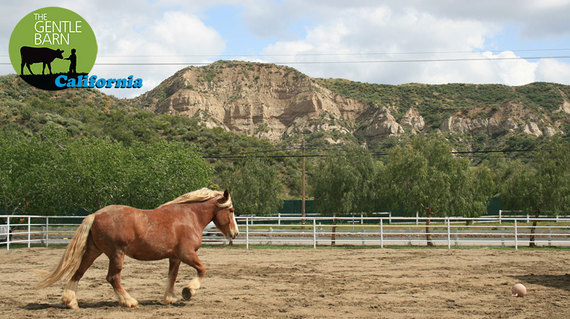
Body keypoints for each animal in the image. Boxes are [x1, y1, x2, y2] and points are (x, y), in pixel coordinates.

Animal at [37, 189, 237, 308]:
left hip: (93, 252)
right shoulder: (187, 254)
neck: (188, 216)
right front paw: (188, 291)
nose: (234, 234)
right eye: (231, 210)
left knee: (78, 272)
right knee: (112, 277)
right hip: (117, 254)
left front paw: (170, 298)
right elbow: (202, 270)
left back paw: (70, 301)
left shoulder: (175, 257)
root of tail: (95, 215)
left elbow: (172, 276)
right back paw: (129, 301)